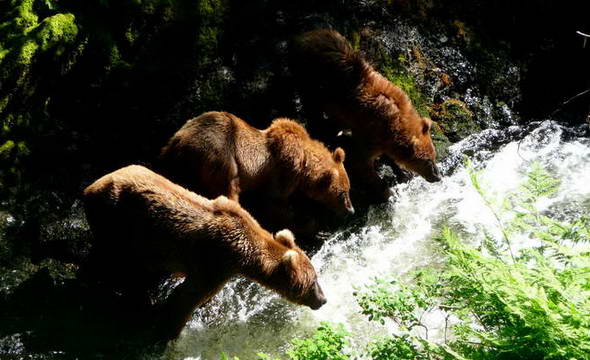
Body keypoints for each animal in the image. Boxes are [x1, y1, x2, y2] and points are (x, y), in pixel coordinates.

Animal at [82, 165, 326, 338]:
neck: (244, 254)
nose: (323, 299)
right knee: (109, 259)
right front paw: (169, 329)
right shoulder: (216, 262)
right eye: (313, 281)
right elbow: (188, 296)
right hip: (113, 217)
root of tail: (91, 186)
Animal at [158, 111, 356, 226]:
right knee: (229, 187)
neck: (304, 165)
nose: (351, 210)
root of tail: (178, 140)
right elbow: (273, 203)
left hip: (177, 166)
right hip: (219, 154)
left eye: (348, 189)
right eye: (343, 193)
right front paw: (312, 226)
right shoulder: (283, 171)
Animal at [294, 28, 442, 200]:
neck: (394, 125)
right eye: (427, 160)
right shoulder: (369, 131)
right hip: (312, 80)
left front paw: (402, 171)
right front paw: (386, 190)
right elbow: (362, 161)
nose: (438, 176)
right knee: (313, 108)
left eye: (433, 156)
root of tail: (307, 34)